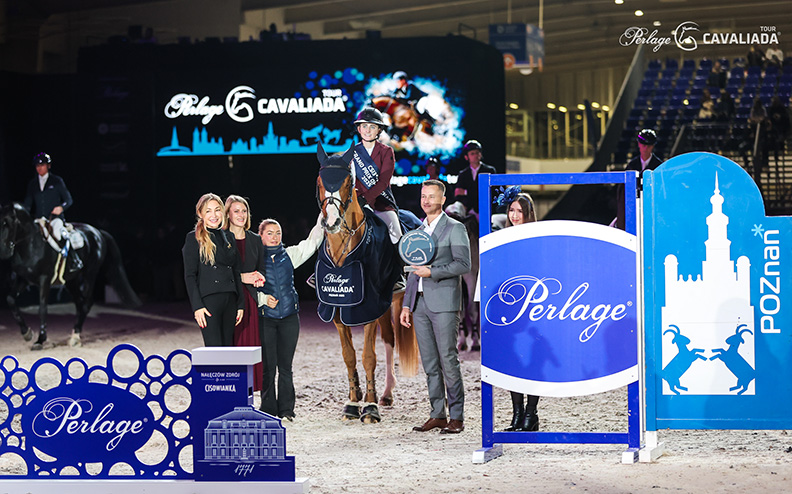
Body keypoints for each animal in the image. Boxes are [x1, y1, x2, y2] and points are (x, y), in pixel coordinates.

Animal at [0, 203, 141, 350]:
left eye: (8, 222)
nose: (4, 252)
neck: (31, 245)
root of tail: (97, 231)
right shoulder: (23, 278)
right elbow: (10, 299)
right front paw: (26, 333)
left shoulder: (45, 279)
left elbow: (42, 308)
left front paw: (40, 340)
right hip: (71, 281)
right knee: (79, 302)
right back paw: (74, 334)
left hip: (89, 274)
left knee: (86, 303)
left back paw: (75, 337)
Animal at [315, 144, 419, 423]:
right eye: (319, 181)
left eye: (348, 181)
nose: (331, 222)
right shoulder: (337, 309)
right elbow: (349, 356)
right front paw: (353, 402)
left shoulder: (370, 306)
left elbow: (368, 357)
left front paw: (369, 407)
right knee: (390, 340)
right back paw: (386, 394)